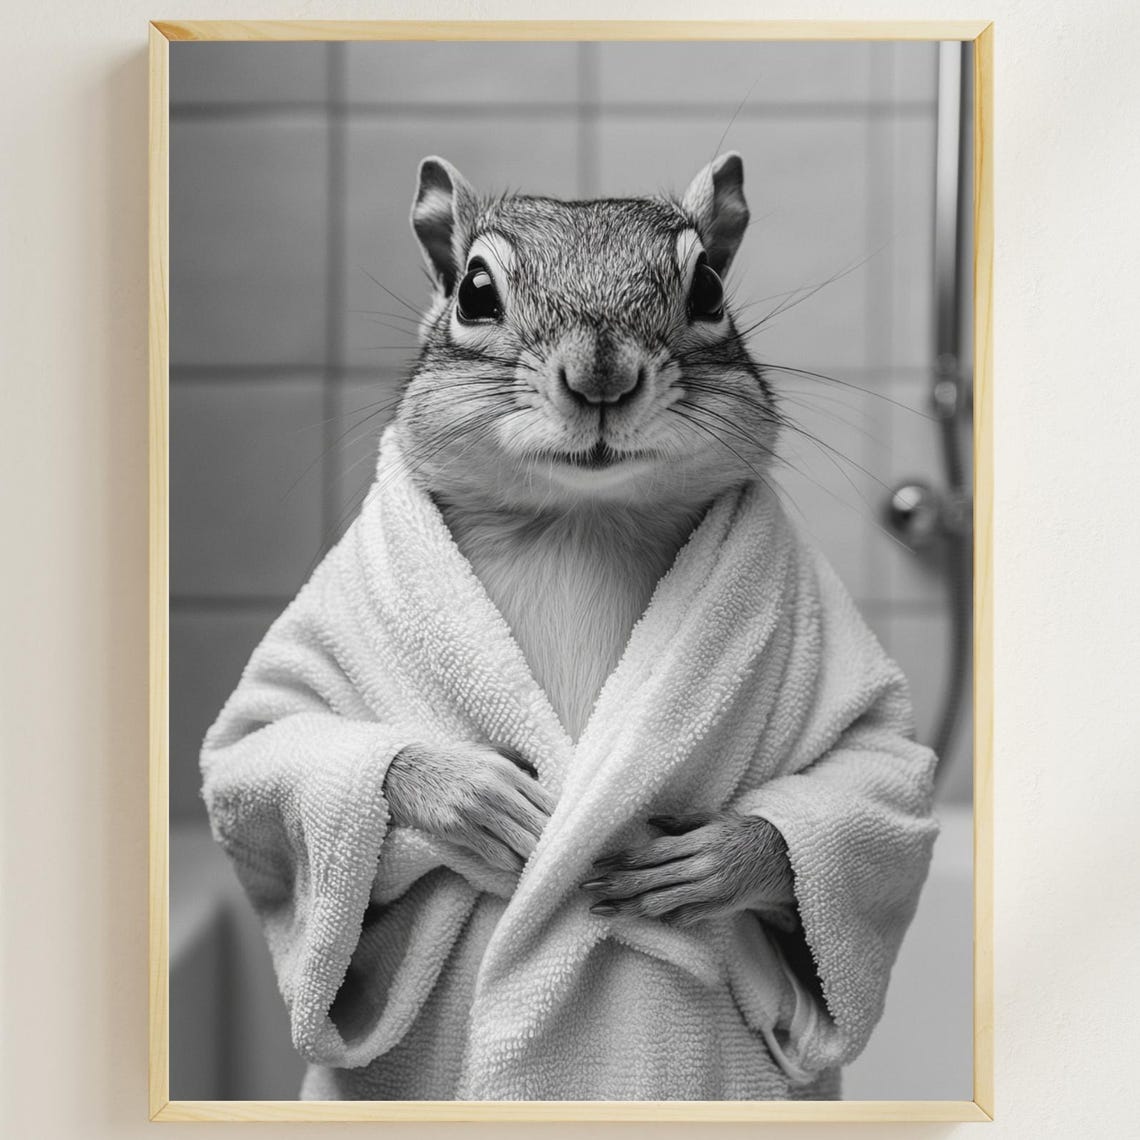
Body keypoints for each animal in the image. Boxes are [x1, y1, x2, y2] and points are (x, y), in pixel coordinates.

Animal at [381, 153, 796, 928]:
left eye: (708, 286)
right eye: (474, 292)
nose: (601, 376)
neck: (582, 518)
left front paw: (716, 861)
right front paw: (472, 796)